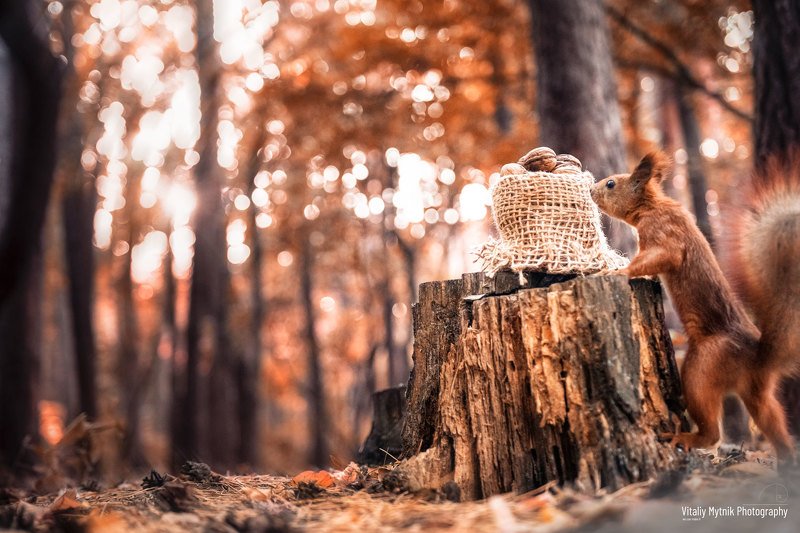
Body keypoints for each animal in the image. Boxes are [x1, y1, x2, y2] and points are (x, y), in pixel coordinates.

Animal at [590, 151, 799, 463]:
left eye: (611, 184)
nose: (591, 191)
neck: (651, 206)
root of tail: (755, 357)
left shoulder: (663, 236)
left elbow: (654, 259)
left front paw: (617, 271)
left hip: (701, 369)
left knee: (712, 432)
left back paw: (686, 437)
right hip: (757, 393)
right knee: (770, 418)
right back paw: (786, 461)